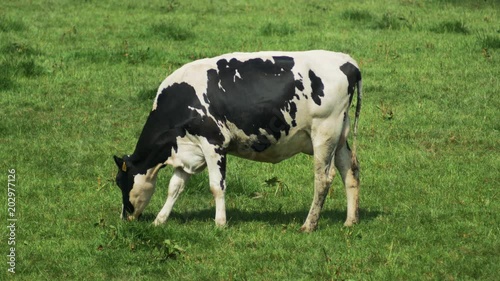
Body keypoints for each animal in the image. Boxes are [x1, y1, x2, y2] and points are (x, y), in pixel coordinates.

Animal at [114, 49, 364, 231]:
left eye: (119, 181)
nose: (125, 217)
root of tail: (347, 61)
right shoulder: (188, 150)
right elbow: (174, 187)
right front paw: (160, 220)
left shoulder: (213, 143)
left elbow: (216, 186)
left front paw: (220, 223)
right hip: (339, 137)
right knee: (350, 171)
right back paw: (350, 221)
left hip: (324, 132)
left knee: (323, 179)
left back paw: (309, 225)